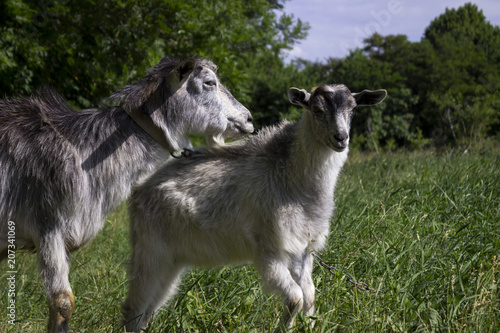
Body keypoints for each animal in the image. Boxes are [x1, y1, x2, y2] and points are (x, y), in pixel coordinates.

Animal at [121, 82, 386, 330]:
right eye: (317, 110)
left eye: (353, 109)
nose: (341, 138)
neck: (292, 179)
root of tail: (139, 190)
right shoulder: (268, 250)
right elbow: (295, 299)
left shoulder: (302, 250)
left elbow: (309, 297)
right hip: (151, 251)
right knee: (134, 307)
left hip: (172, 262)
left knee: (151, 307)